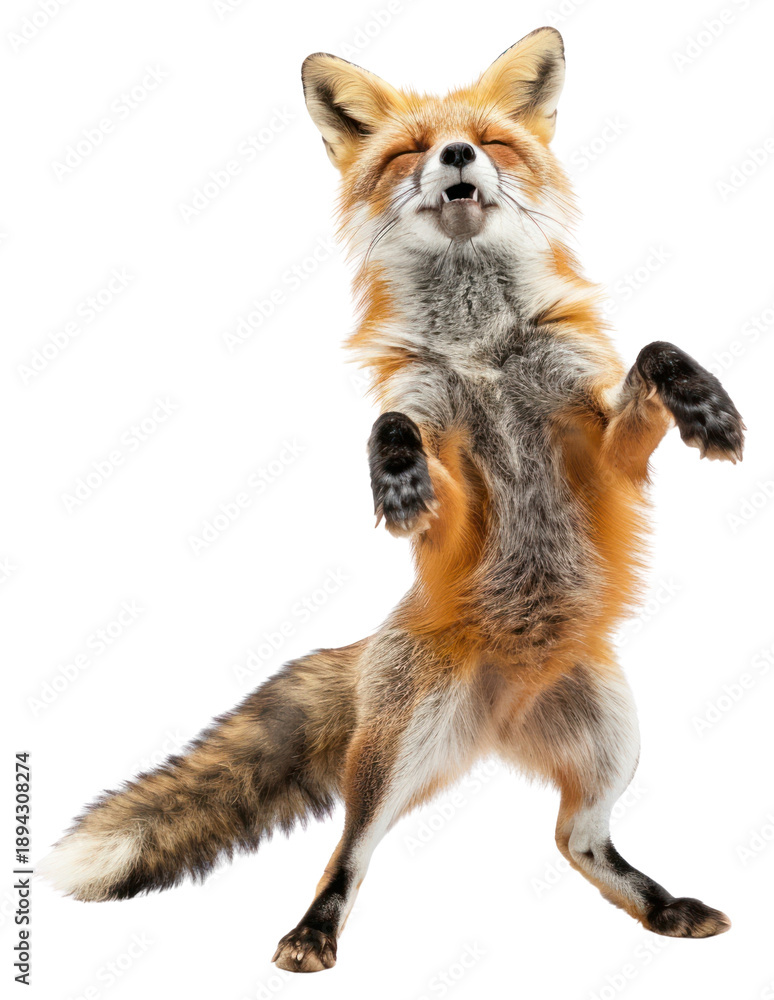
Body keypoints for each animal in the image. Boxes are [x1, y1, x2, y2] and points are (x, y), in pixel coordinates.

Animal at [41, 27, 745, 973]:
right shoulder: (452, 487)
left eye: (490, 141)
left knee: (576, 841)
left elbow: (656, 352)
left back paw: (663, 907)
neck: (483, 353)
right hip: (397, 752)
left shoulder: (598, 454)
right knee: (351, 850)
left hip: (612, 740)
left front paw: (707, 404)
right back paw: (311, 932)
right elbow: (394, 426)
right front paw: (396, 478)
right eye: (412, 149)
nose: (456, 155)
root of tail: (498, 718)